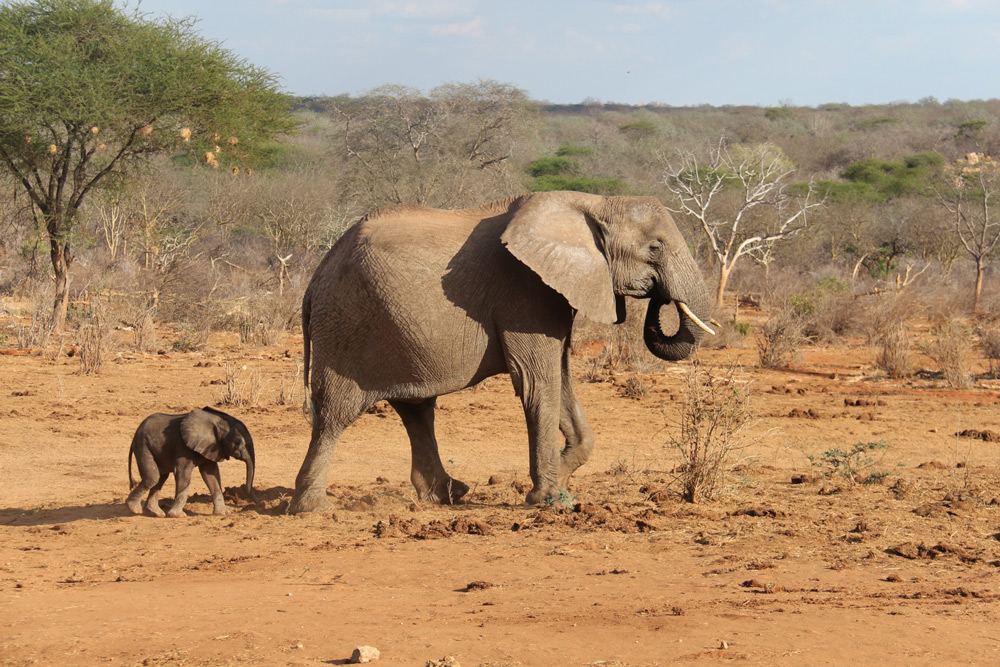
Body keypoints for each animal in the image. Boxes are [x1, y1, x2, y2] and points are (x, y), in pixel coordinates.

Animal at [127, 404, 258, 520]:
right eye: (238, 442)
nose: (256, 502)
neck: (216, 420)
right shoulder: (182, 446)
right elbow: (183, 472)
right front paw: (177, 515)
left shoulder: (211, 446)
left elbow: (211, 475)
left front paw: (224, 513)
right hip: (143, 445)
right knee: (153, 477)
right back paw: (134, 509)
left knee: (160, 477)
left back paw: (156, 513)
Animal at [288, 190, 712, 516]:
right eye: (655, 247)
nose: (660, 298)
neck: (593, 203)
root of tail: (314, 280)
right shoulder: (526, 289)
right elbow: (537, 381)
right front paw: (550, 498)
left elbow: (560, 378)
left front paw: (560, 477)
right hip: (345, 323)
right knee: (336, 414)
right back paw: (313, 509)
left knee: (416, 409)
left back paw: (447, 495)